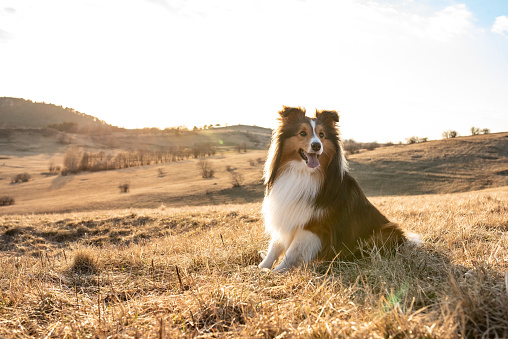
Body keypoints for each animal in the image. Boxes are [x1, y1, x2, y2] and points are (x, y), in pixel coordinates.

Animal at [258, 107, 416, 272]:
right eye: (302, 133)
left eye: (321, 135)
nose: (317, 146)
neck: (302, 173)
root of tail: (404, 240)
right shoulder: (287, 213)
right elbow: (275, 247)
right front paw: (260, 267)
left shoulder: (313, 226)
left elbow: (291, 252)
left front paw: (275, 272)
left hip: (385, 231)